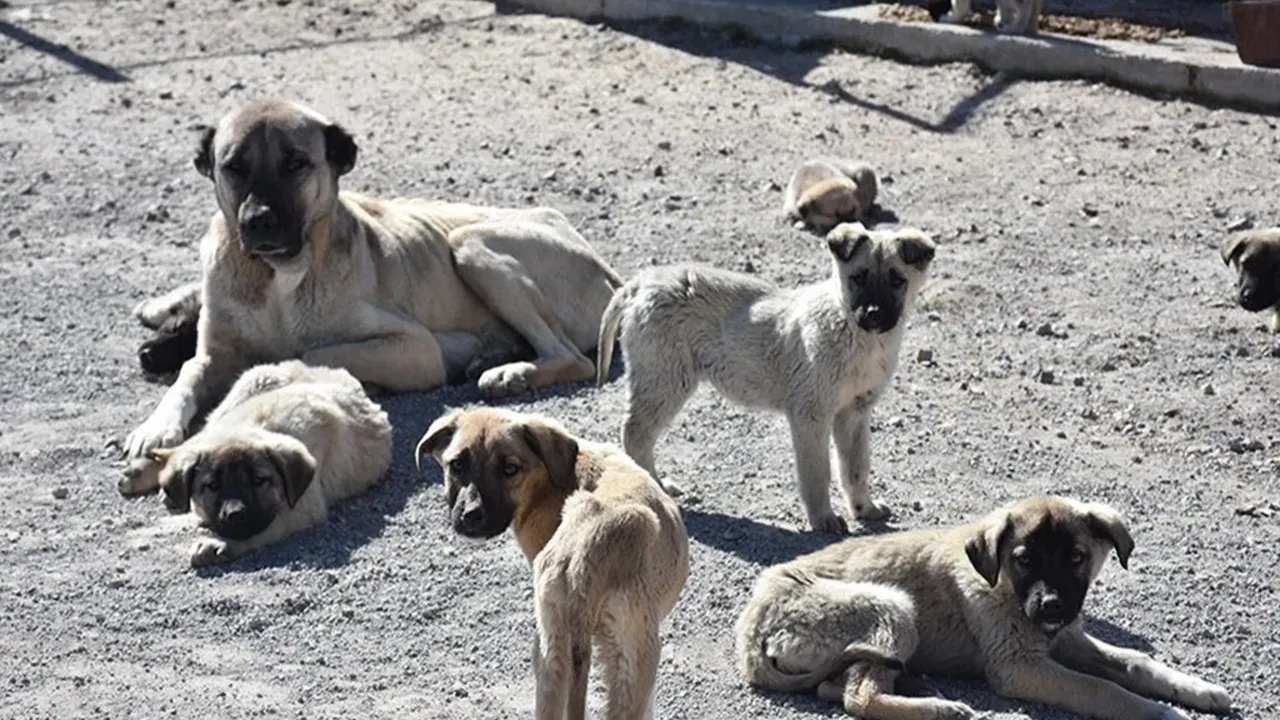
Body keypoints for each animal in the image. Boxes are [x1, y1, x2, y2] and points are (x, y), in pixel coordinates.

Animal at [119, 358, 389, 566]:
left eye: (259, 481)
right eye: (212, 486)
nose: (235, 514)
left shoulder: (303, 507)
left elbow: (260, 529)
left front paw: (218, 544)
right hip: (246, 386)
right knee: (190, 441)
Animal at [122, 98, 622, 458]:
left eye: (296, 163)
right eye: (234, 166)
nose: (258, 221)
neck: (278, 278)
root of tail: (607, 268)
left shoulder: (415, 348)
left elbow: (312, 349)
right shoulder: (212, 353)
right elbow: (187, 375)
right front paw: (155, 425)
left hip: (470, 245)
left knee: (572, 357)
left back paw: (511, 371)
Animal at [417, 407, 691, 717]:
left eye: (510, 469)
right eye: (457, 465)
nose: (471, 516)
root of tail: (583, 558)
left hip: (553, 652)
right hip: (635, 657)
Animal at [593, 221, 936, 530]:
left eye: (897, 280)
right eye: (859, 278)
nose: (874, 315)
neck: (855, 333)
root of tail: (642, 283)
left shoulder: (854, 413)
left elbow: (856, 468)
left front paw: (864, 508)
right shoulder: (810, 415)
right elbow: (817, 472)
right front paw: (823, 519)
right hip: (664, 381)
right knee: (635, 434)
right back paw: (655, 487)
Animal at [737, 491, 1233, 717]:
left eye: (1076, 557)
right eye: (1024, 559)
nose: (1051, 606)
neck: (1005, 590)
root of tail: (749, 633)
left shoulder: (1070, 640)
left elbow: (1134, 662)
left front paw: (1197, 689)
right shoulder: (1018, 666)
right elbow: (1099, 688)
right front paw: (1159, 711)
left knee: (836, 689)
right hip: (890, 605)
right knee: (858, 698)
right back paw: (942, 709)